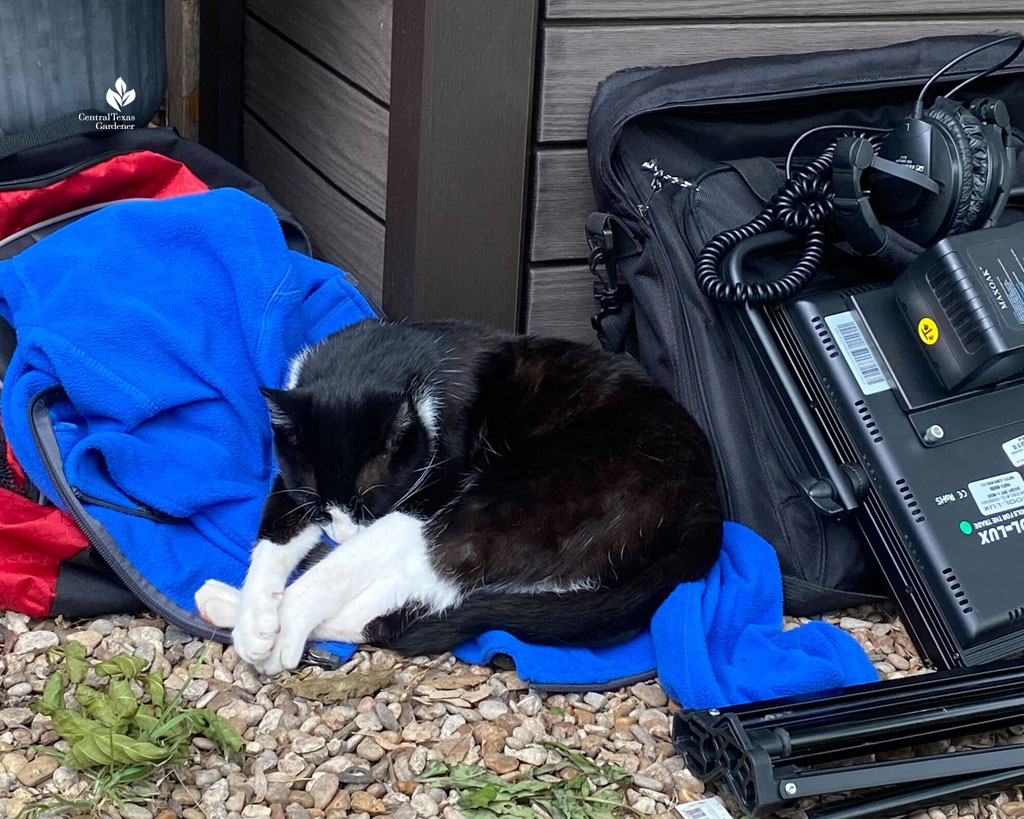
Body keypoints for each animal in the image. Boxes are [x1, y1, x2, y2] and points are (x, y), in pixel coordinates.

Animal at [193, 319, 720, 671]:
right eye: (319, 504)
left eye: (370, 502)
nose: (340, 533)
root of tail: (707, 499)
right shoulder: (290, 478)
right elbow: (274, 535)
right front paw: (256, 618)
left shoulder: (425, 495)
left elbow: (340, 568)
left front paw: (282, 619)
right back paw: (229, 605)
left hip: (523, 500)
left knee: (400, 610)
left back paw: (236, 607)